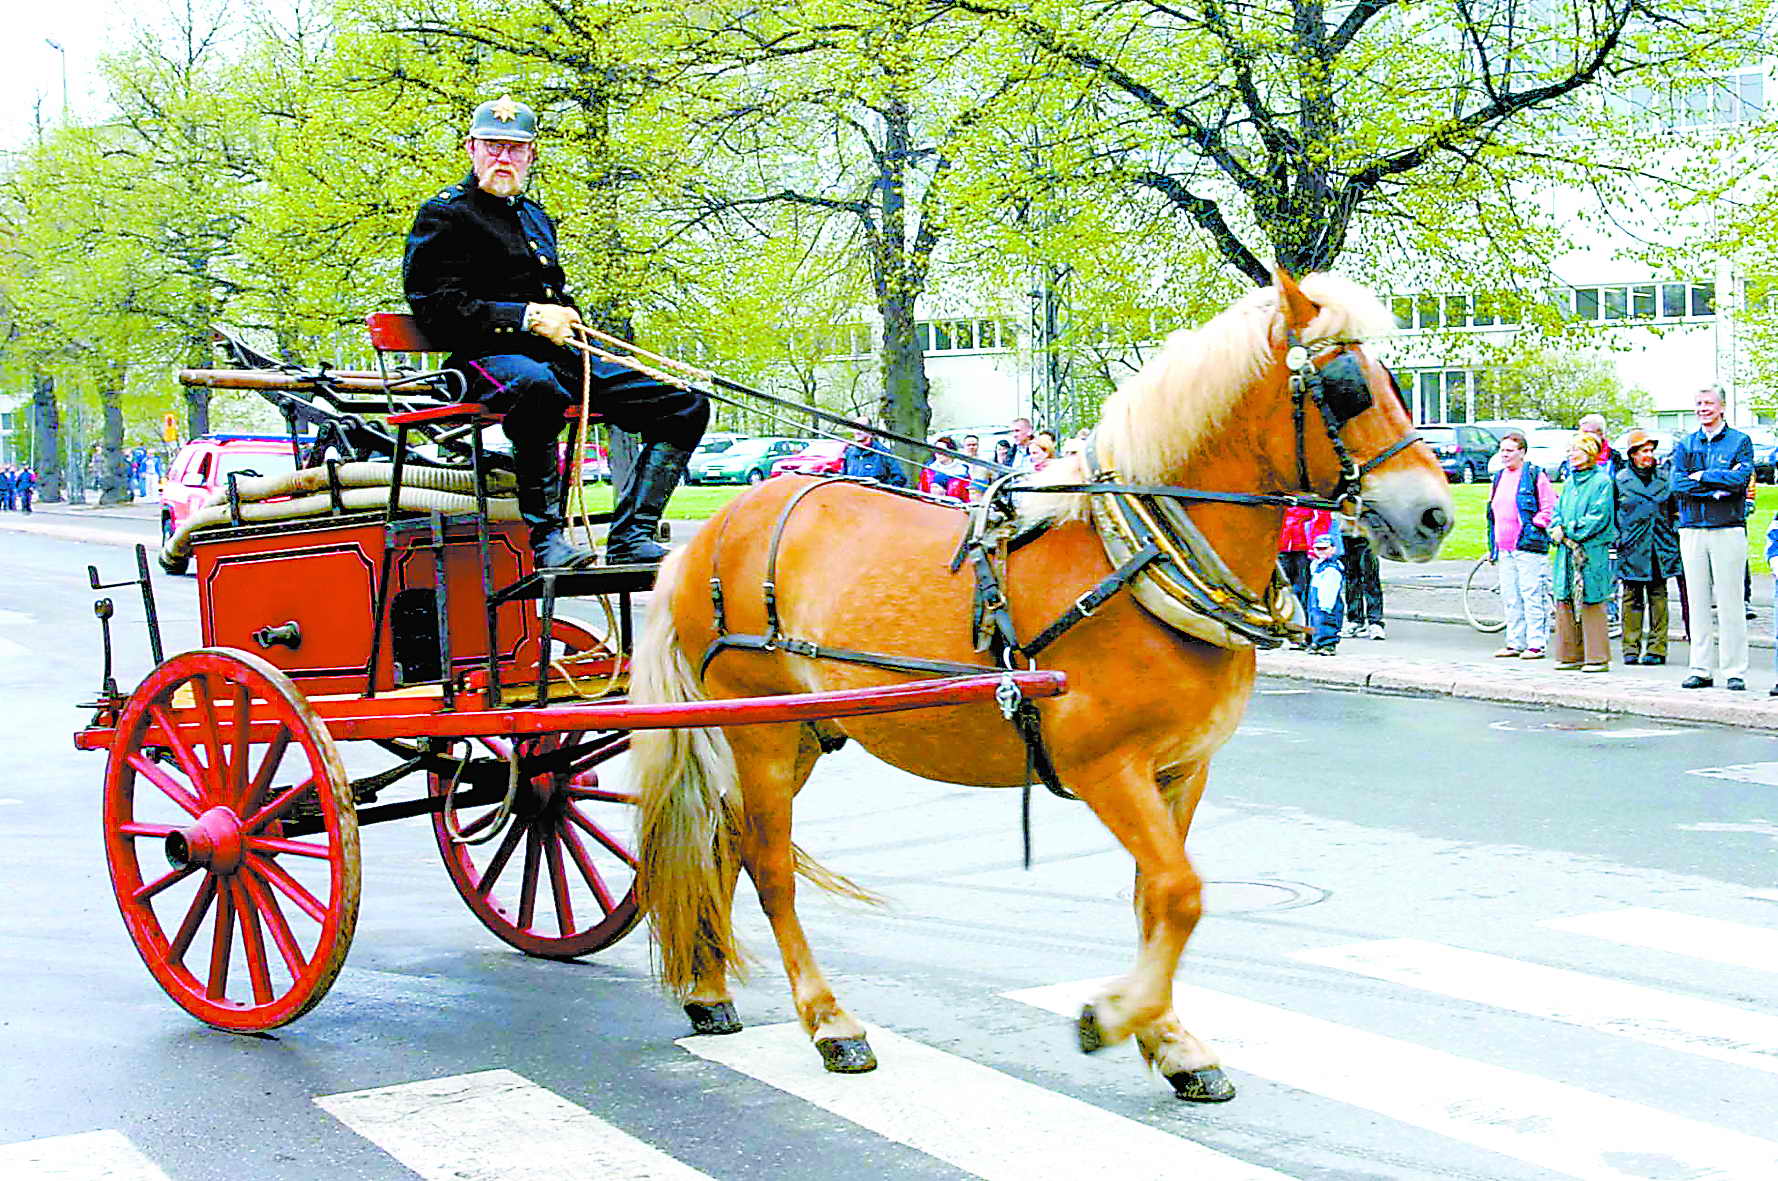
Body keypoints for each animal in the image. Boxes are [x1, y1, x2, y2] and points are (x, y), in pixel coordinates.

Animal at [632, 266, 1450, 1095]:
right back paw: (831, 1021)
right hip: (761, 727)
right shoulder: (1104, 765)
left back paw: (709, 989)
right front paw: (1114, 1017)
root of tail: (713, 528)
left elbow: (1154, 897)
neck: (1138, 562)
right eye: (1345, 389)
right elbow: (1182, 893)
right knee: (769, 867)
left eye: (1398, 383)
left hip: (803, 729)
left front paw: (1169, 1039)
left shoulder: (1182, 770)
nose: (1436, 515)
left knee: (723, 842)